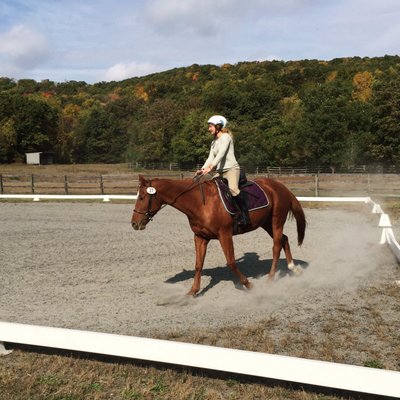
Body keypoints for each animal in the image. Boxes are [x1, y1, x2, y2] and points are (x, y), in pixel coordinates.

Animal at [132, 173, 306, 296]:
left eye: (142, 197)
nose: (134, 224)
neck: (200, 203)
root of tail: (281, 187)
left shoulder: (225, 234)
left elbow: (231, 262)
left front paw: (248, 284)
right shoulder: (200, 237)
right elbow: (198, 264)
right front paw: (193, 291)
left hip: (276, 221)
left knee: (276, 246)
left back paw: (270, 279)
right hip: (266, 223)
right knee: (284, 239)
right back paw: (293, 268)